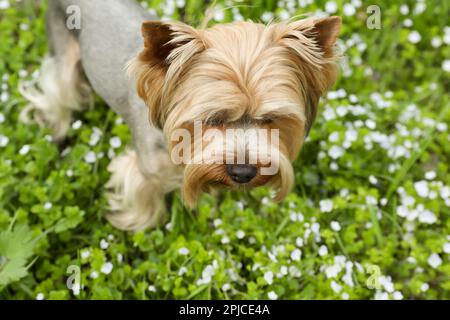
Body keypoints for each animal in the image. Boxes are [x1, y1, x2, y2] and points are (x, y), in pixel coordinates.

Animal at [19, 0, 340, 230]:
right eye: (211, 119)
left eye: (270, 119)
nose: (243, 173)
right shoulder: (145, 168)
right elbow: (143, 195)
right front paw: (139, 227)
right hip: (62, 49)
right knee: (57, 91)